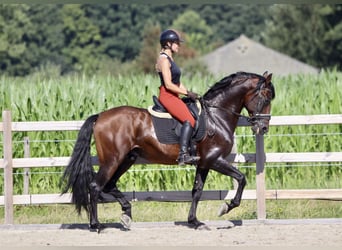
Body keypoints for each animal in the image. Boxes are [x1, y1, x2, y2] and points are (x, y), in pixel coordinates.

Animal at [60, 70, 276, 230]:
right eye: (266, 98)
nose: (263, 128)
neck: (216, 116)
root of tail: (101, 116)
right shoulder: (214, 159)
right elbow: (241, 178)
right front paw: (226, 207)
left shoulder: (204, 163)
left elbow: (197, 190)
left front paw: (194, 221)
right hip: (113, 160)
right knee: (96, 186)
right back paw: (96, 225)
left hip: (127, 159)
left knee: (110, 185)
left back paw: (127, 215)